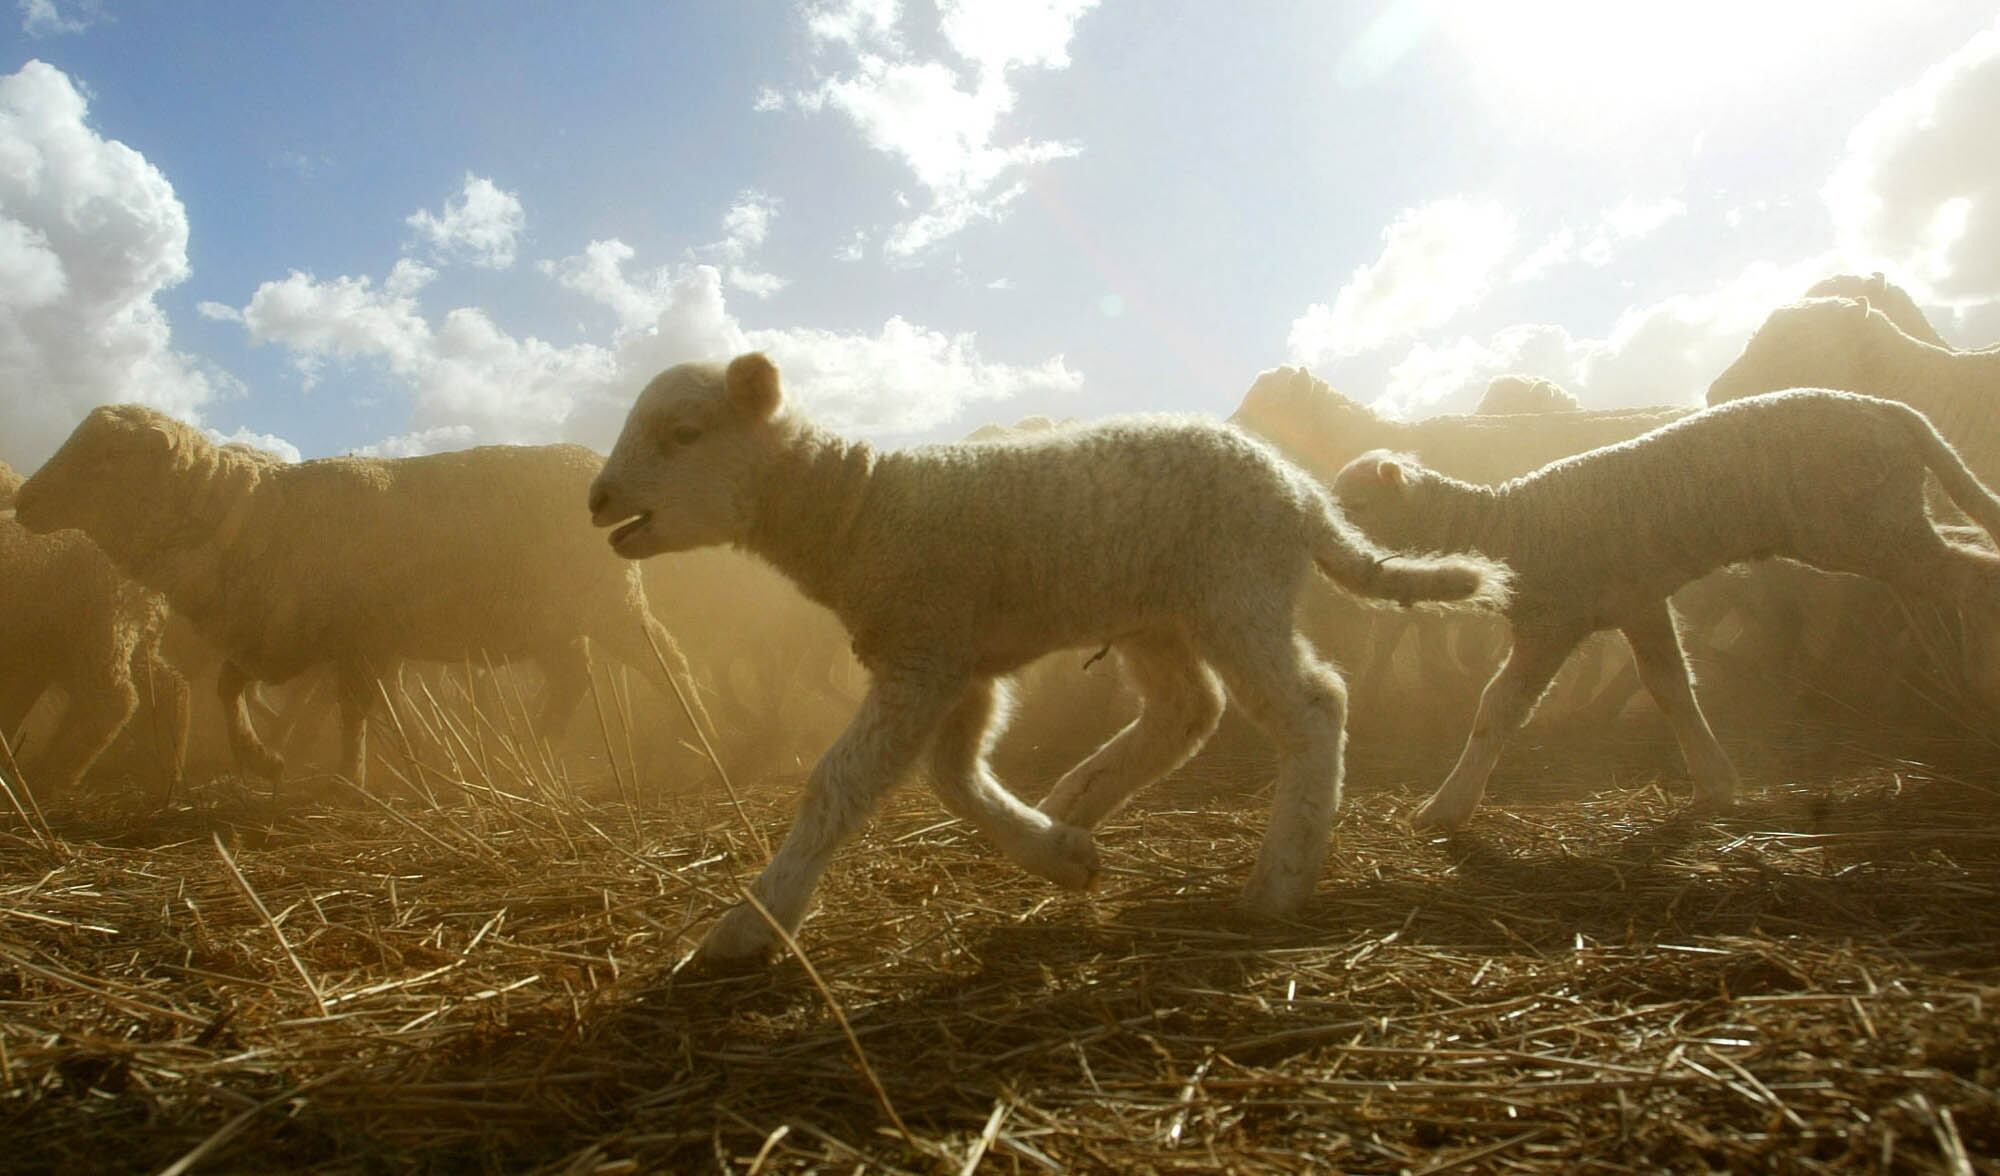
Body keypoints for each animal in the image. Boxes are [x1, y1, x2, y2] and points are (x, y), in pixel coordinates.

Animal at [14, 406, 713, 789]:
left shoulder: (357, 640)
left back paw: (699, 739)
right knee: (572, 678)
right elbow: (231, 688)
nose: (21, 501)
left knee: (666, 661)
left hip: (609, 602)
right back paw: (529, 750)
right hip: (549, 618)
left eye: (106, 457)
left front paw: (349, 777)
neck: (253, 515)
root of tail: (597, 466)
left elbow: (355, 712)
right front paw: (262, 759)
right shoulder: (288, 638)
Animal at [589, 353, 1510, 966]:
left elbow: (840, 783)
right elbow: (952, 777)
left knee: (1314, 706)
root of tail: (1302, 492)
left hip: (1237, 590)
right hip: (1157, 613)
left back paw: (1279, 882)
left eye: (683, 432)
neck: (859, 511)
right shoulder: (957, 662)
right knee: (1189, 710)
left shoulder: (924, 651)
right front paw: (1060, 857)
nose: (597, 499)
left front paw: (751, 925)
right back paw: (1079, 799)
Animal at [1332, 389, 2000, 830]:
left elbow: (1498, 707)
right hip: (1888, 519)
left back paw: (1980, 690)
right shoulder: (1639, 599)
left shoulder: (1556, 617)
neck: (1507, 524)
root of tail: (1892, 410)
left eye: (1355, 505)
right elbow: (1670, 685)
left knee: (1974, 578)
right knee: (1971, 549)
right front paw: (1717, 784)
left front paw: (1444, 809)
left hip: (1867, 525)